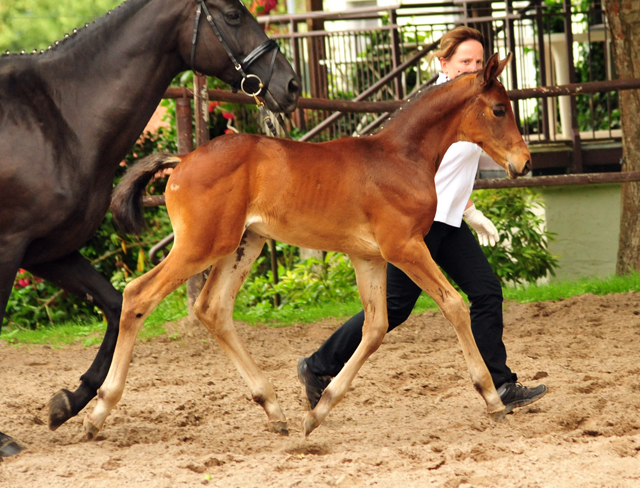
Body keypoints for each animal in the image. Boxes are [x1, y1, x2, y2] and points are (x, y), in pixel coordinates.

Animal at [0, 0, 302, 454]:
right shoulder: (9, 248)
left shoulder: (48, 252)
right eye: (232, 14)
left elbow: (113, 304)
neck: (58, 117)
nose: (291, 84)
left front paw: (69, 402)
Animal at [96, 52, 528, 438]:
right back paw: (99, 410)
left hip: (244, 244)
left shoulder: (369, 257)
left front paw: (319, 410)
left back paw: (272, 406)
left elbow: (376, 327)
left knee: (212, 308)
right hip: (201, 245)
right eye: (499, 110)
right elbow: (453, 305)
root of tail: (182, 161)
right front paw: (492, 397)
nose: (523, 163)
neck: (400, 158)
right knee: (138, 295)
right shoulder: (403, 247)